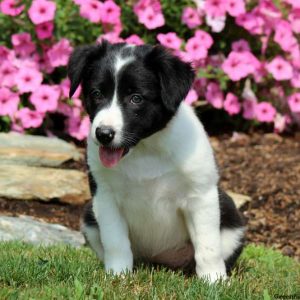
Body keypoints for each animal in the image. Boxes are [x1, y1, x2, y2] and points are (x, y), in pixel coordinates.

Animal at [68, 42, 246, 284]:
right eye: (96, 94)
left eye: (136, 98)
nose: (104, 134)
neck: (145, 149)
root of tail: (160, 260)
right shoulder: (105, 197)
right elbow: (116, 242)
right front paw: (117, 277)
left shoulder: (201, 195)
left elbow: (208, 247)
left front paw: (213, 281)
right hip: (89, 215)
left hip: (230, 214)